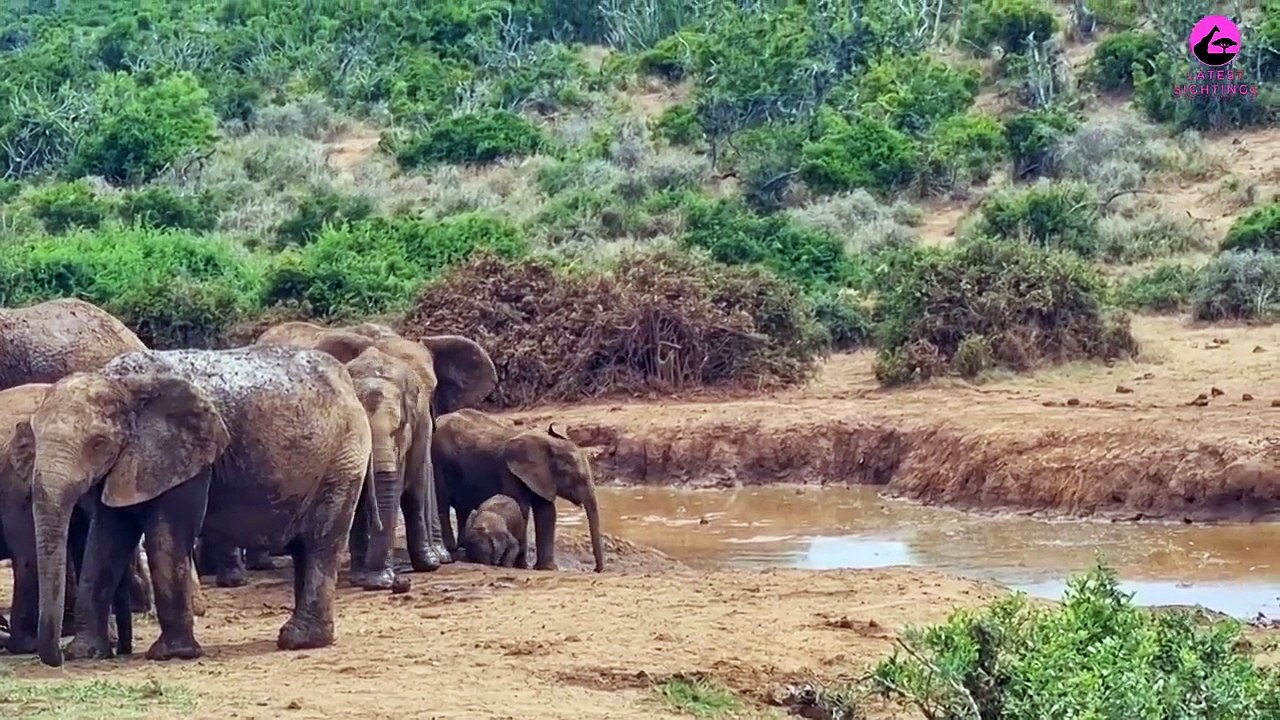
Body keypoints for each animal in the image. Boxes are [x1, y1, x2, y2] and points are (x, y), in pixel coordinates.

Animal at [15, 344, 376, 667]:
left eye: (98, 444)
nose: (56, 658)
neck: (120, 382)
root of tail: (348, 383)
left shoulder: (187, 458)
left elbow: (165, 537)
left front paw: (171, 655)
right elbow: (106, 540)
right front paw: (86, 653)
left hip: (344, 458)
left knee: (320, 541)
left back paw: (298, 641)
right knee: (304, 546)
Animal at [433, 409, 604, 573]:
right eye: (578, 477)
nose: (596, 570)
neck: (546, 442)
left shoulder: (541, 478)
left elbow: (547, 512)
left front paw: (547, 568)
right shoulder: (509, 472)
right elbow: (522, 508)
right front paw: (522, 566)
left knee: (462, 509)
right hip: (436, 460)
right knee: (442, 503)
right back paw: (451, 550)